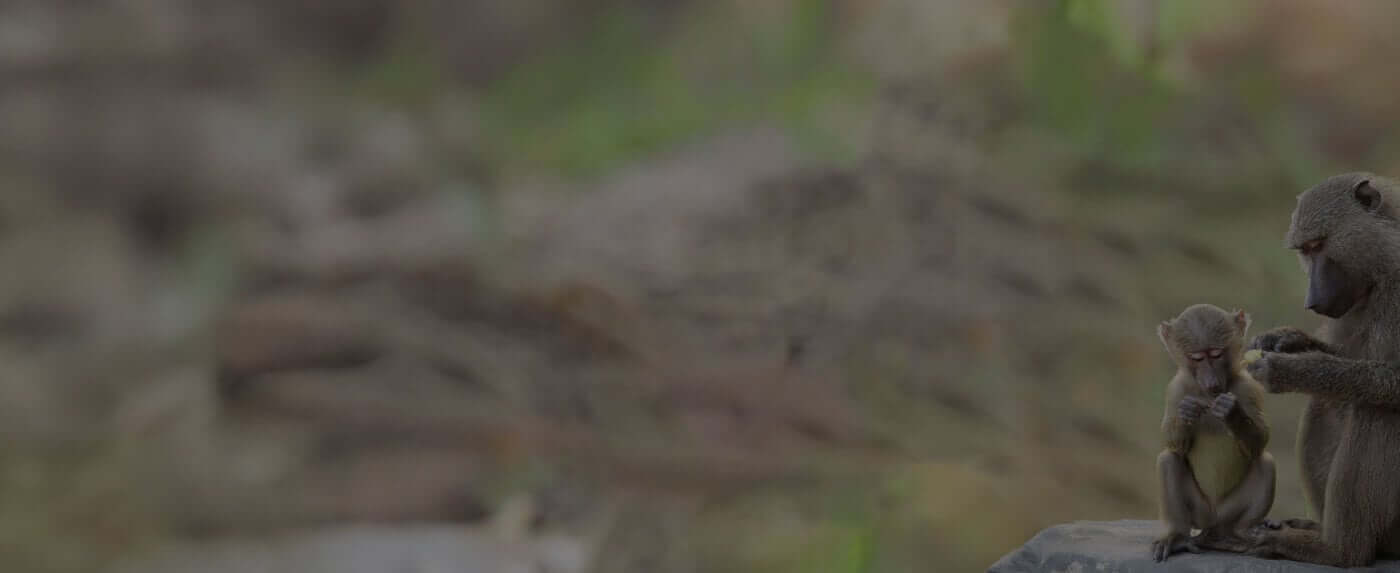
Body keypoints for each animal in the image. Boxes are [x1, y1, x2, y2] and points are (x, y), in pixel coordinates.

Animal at [1151, 304, 1276, 562]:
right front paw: (1186, 413)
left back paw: (1243, 532)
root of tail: (1213, 521)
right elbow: (1173, 444)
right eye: (1197, 358)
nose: (1211, 382)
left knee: (1266, 463)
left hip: (1230, 511)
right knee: (1168, 460)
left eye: (1216, 354)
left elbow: (1260, 440)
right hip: (1199, 512)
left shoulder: (1248, 387)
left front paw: (1231, 413)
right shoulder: (1176, 389)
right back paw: (1177, 537)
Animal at [1241, 172, 1400, 567]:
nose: (1311, 302)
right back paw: (1317, 531)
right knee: (1326, 403)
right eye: (1305, 250)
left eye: (1318, 245)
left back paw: (1340, 550)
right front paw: (1286, 340)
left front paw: (1290, 370)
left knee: (1377, 410)